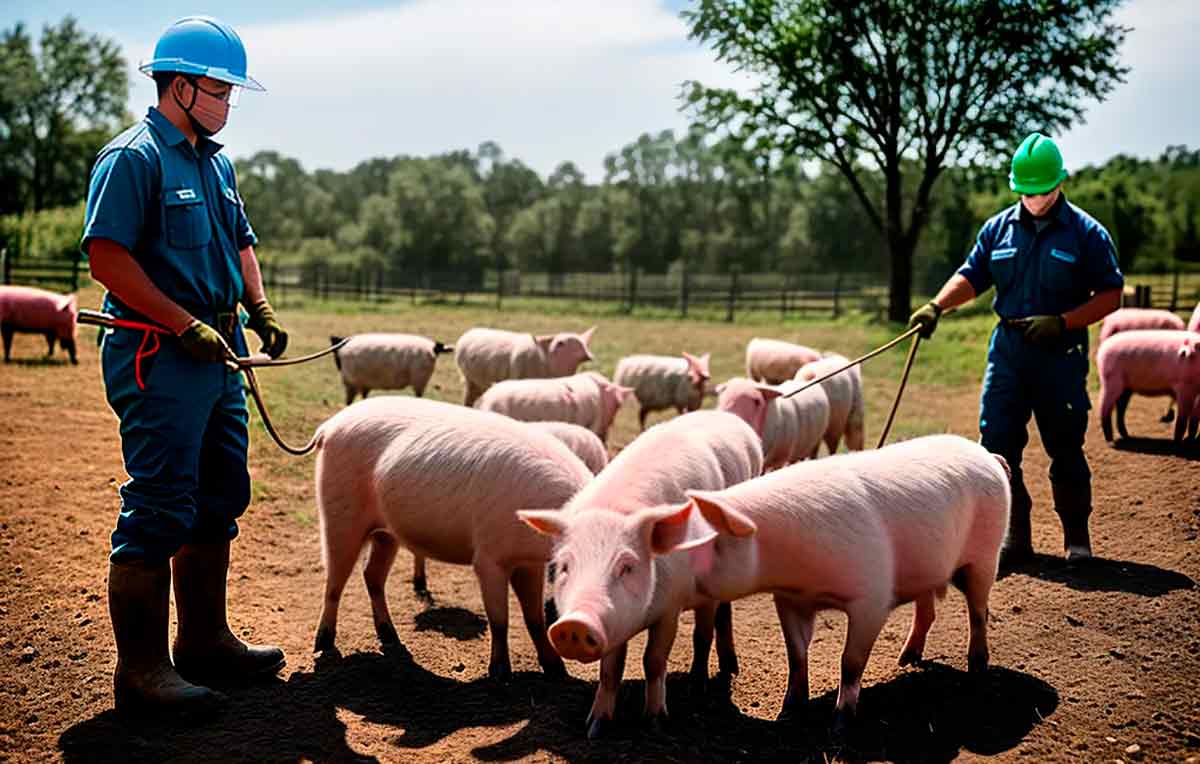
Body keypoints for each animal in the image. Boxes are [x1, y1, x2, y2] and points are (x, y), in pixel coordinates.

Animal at [309, 395, 590, 676]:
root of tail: (330, 426)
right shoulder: (489, 557)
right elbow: (500, 620)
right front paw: (500, 673)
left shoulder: (528, 563)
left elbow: (534, 619)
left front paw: (557, 671)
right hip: (339, 513)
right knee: (334, 581)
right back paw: (323, 644)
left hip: (386, 533)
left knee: (372, 575)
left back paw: (390, 637)